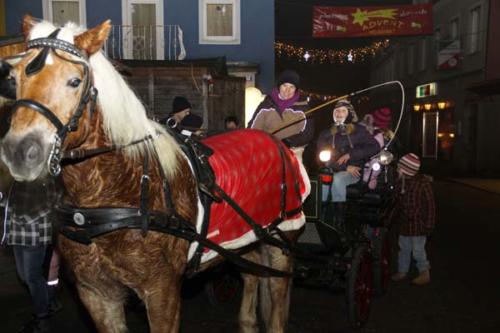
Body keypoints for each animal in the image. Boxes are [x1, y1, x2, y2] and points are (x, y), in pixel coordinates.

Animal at [0, 16, 308, 332]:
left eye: (74, 81)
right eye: (14, 80)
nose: (20, 151)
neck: (116, 190)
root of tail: (277, 142)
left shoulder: (162, 289)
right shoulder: (95, 292)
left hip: (282, 239)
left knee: (277, 290)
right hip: (242, 241)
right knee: (252, 275)